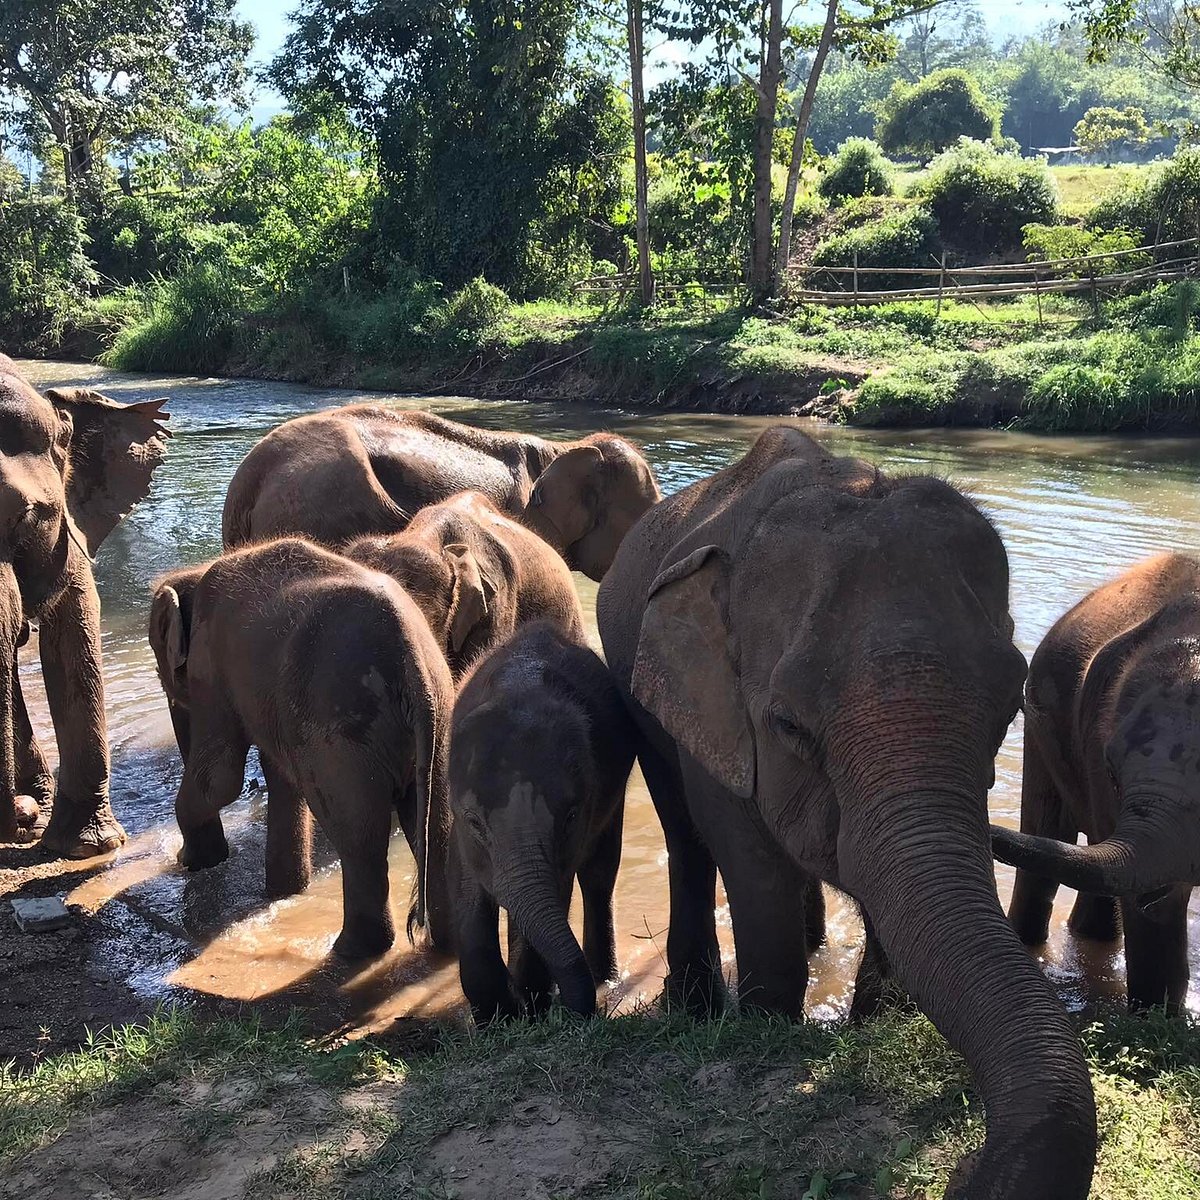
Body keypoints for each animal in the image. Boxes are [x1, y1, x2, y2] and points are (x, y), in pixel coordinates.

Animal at [147, 538, 455, 958]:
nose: (181, 859)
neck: (195, 573)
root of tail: (414, 665)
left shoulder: (209, 665)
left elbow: (220, 779)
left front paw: (193, 862)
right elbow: (280, 775)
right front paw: (284, 890)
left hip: (342, 731)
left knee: (358, 836)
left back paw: (349, 951)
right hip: (439, 716)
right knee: (437, 827)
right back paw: (447, 946)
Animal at [447, 621, 636, 1024]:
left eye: (570, 817)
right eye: (474, 822)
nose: (583, 1015)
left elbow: (556, 890)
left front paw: (528, 1010)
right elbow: (466, 890)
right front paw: (497, 1017)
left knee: (599, 874)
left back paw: (603, 980)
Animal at [596, 426, 1096, 1200]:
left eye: (1010, 710)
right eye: (788, 726)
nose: (966, 1170)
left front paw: (871, 1026)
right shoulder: (714, 712)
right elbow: (750, 862)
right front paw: (768, 1024)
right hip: (639, 692)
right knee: (685, 833)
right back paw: (696, 1002)